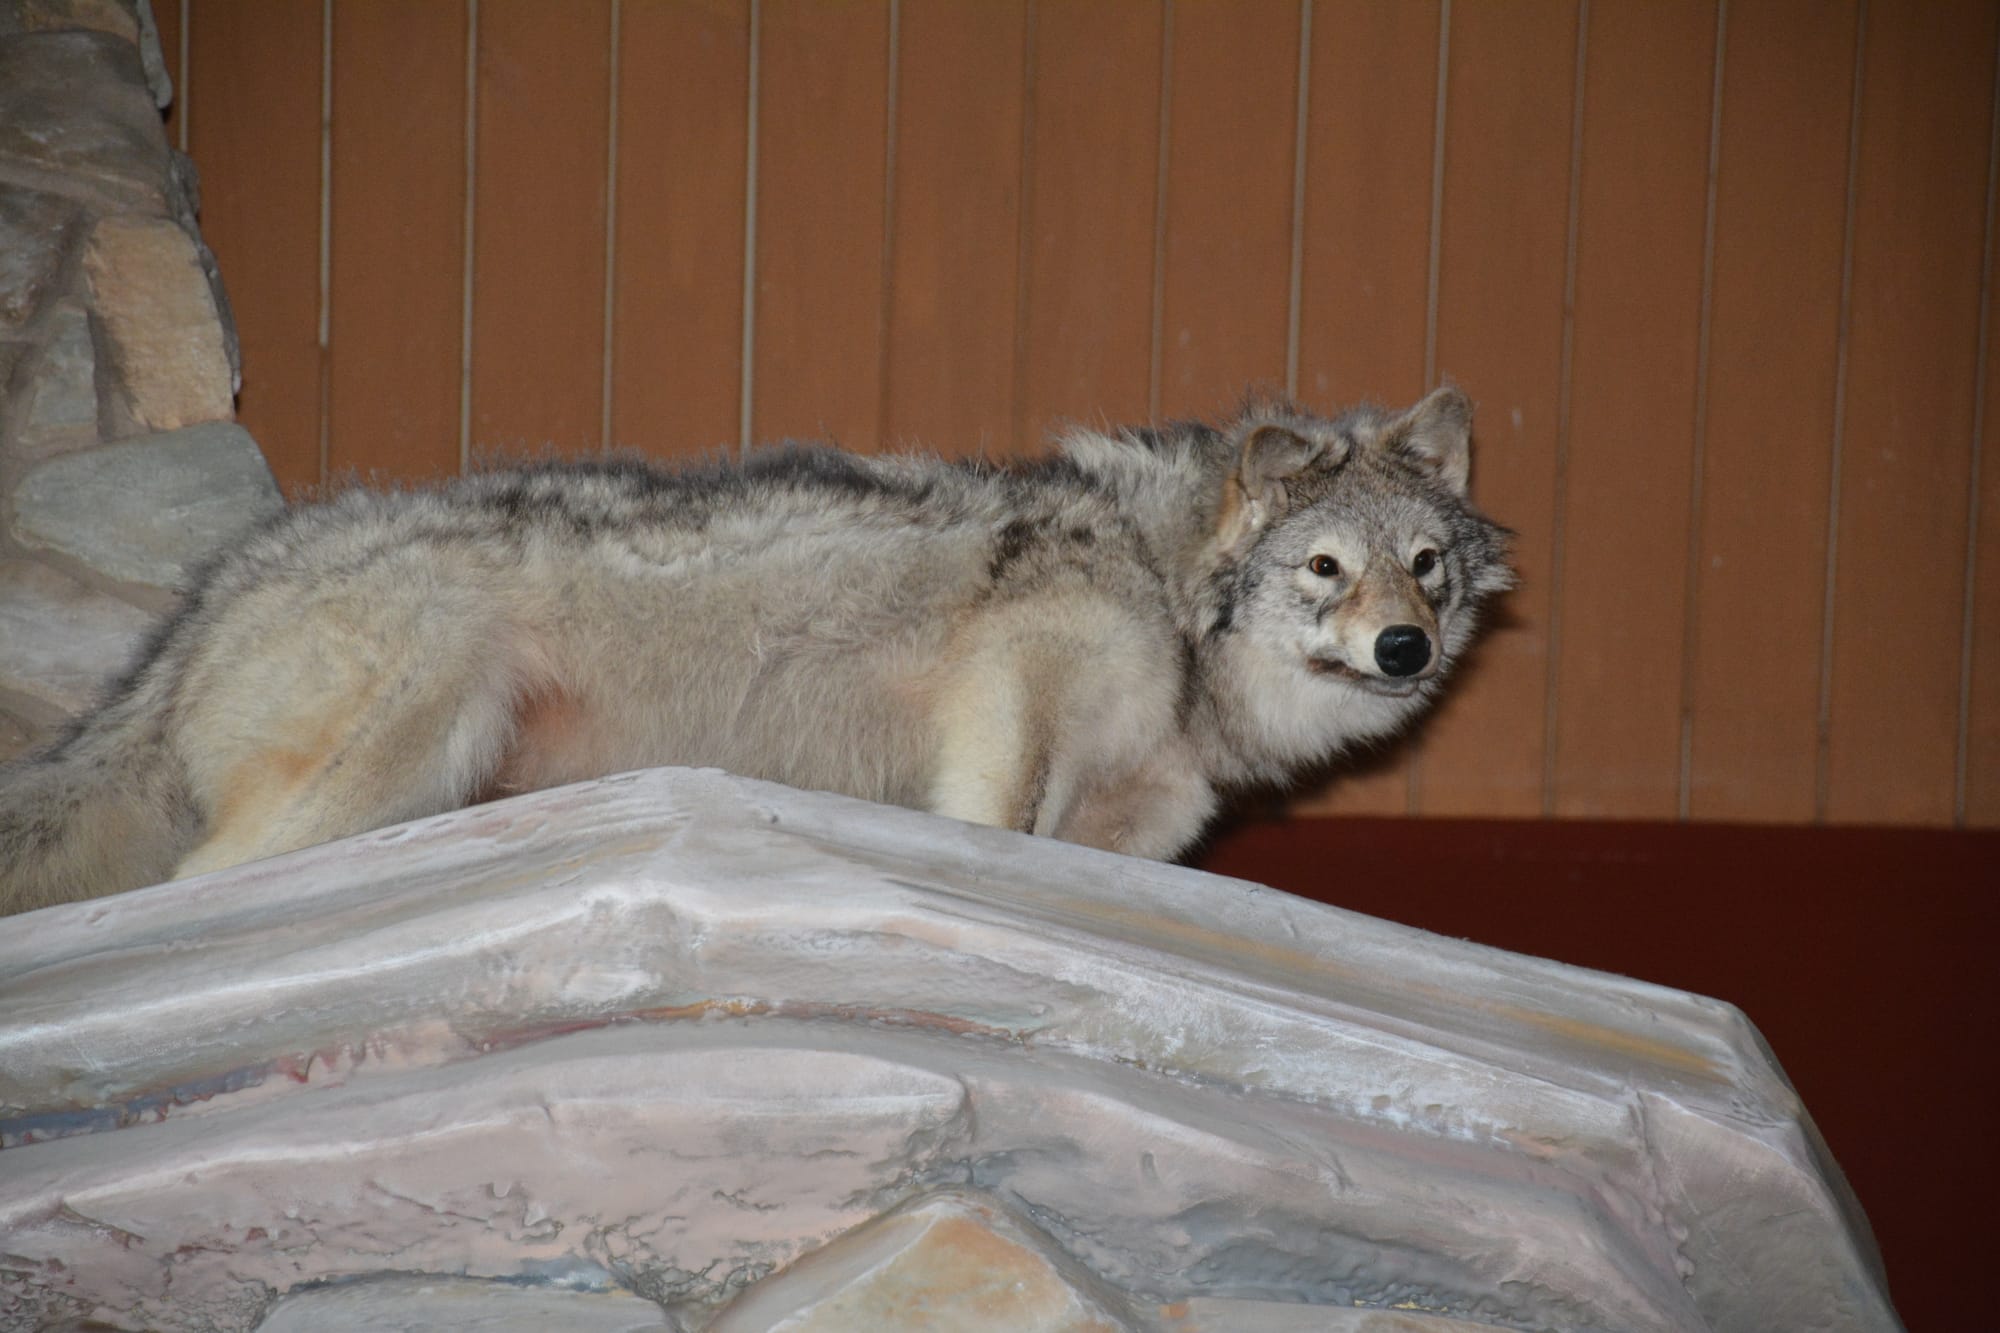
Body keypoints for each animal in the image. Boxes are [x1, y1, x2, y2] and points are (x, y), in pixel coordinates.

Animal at [0, 387, 1512, 915]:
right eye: (1325, 569)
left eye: (1424, 568)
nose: (1403, 649)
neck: (1161, 580)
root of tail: (227, 578)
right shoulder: (1008, 707)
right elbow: (993, 831)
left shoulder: (1138, 825)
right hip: (400, 754)